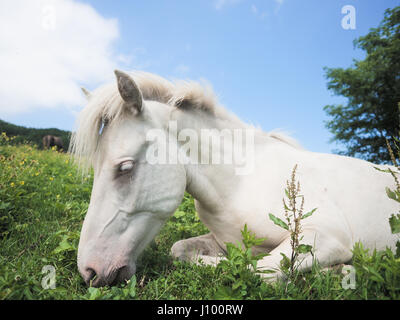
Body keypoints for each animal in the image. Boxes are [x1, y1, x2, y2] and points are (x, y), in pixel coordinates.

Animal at [71, 70, 396, 288]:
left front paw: (339, 270)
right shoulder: (221, 240)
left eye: (124, 168)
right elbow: (180, 251)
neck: (239, 183)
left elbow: (255, 269)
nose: (90, 271)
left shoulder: (325, 235)